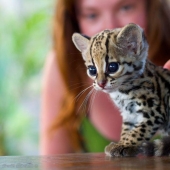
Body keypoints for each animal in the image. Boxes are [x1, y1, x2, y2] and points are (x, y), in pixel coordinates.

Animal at [71, 23, 170, 157]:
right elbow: (127, 129)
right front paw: (122, 141)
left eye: (112, 67)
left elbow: (139, 130)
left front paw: (125, 144)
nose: (101, 84)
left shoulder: (154, 111)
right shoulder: (129, 114)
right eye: (92, 70)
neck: (121, 92)